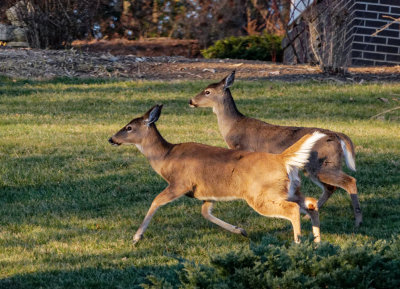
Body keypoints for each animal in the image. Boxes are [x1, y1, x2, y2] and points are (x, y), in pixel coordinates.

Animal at [109, 103, 324, 243]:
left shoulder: (181, 183)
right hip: (290, 190)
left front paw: (137, 236)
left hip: (260, 194)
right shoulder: (207, 192)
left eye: (129, 127)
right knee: (311, 203)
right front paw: (240, 230)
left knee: (293, 209)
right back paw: (317, 243)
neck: (166, 158)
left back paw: (298, 242)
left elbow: (156, 201)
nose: (112, 139)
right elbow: (205, 213)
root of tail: (282, 159)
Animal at [188, 71, 362, 226]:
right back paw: (308, 215)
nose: (191, 101)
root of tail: (337, 136)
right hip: (316, 167)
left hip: (324, 164)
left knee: (349, 181)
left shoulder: (243, 149)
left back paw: (357, 221)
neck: (232, 126)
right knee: (331, 188)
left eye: (207, 91)